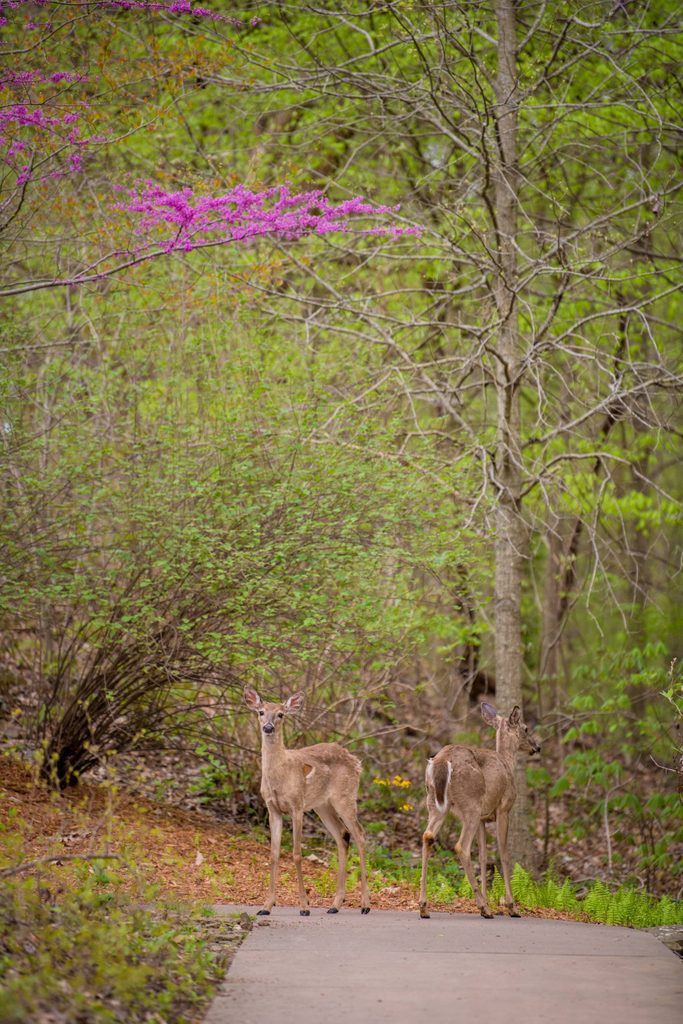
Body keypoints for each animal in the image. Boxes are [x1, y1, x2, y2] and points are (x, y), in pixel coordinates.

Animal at [244, 687, 371, 917]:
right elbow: (274, 854)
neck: (280, 775)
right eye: (260, 712)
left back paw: (365, 904)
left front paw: (304, 907)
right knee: (343, 834)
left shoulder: (297, 805)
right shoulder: (272, 808)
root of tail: (357, 762)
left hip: (345, 797)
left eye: (281, 714)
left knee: (359, 834)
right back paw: (335, 905)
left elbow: (296, 854)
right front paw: (266, 907)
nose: (268, 727)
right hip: (322, 805)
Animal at [419, 701, 540, 920]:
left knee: (428, 835)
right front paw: (511, 906)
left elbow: (483, 856)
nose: (537, 747)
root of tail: (442, 760)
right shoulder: (503, 808)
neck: (507, 763)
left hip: (436, 803)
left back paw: (424, 907)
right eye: (526, 728)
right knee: (461, 846)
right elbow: (503, 853)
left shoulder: (484, 819)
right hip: (471, 804)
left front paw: (490, 900)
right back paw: (483, 908)